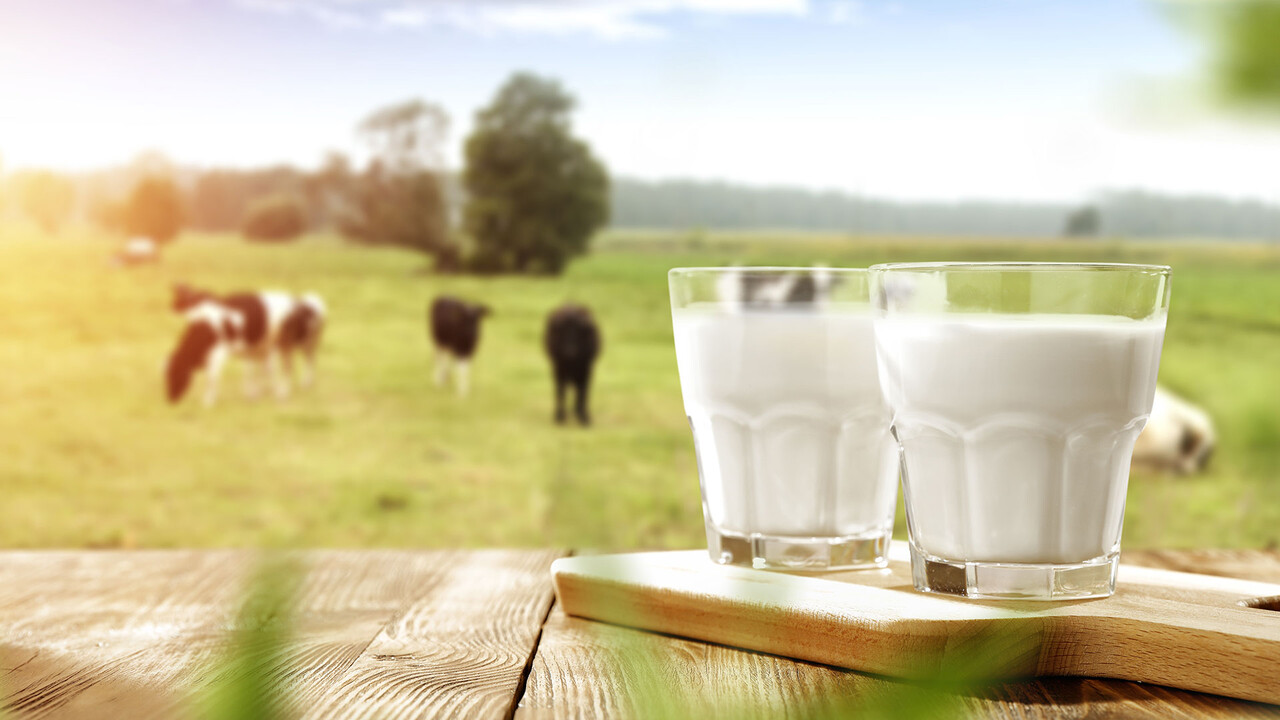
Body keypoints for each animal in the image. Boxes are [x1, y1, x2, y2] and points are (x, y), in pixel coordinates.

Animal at [167, 284, 325, 407]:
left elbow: (213, 377)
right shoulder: (252, 349)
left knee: (302, 363)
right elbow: (251, 371)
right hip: (288, 346)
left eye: (174, 373)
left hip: (301, 343)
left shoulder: (219, 353)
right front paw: (253, 393)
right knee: (292, 365)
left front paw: (208, 402)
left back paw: (293, 388)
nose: (170, 401)